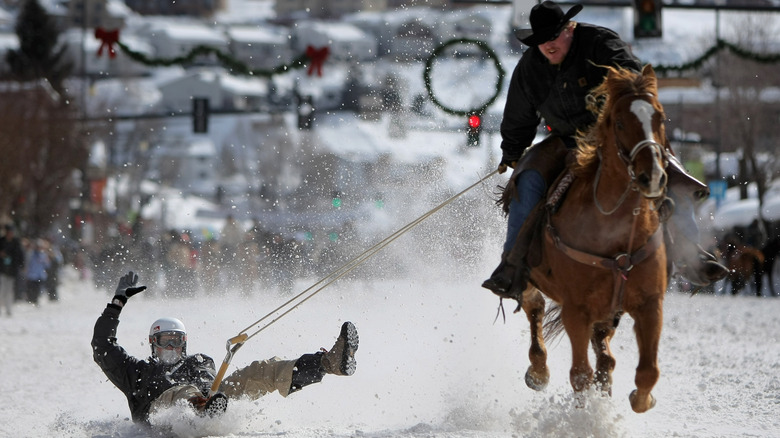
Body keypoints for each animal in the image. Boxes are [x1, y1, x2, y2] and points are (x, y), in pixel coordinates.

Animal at [518, 65, 670, 413]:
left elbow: (648, 371)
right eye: (620, 122)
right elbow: (579, 375)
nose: (653, 176)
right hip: (529, 278)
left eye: (660, 117)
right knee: (533, 307)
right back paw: (538, 370)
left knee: (604, 354)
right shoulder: (576, 309)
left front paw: (641, 398)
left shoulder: (650, 304)